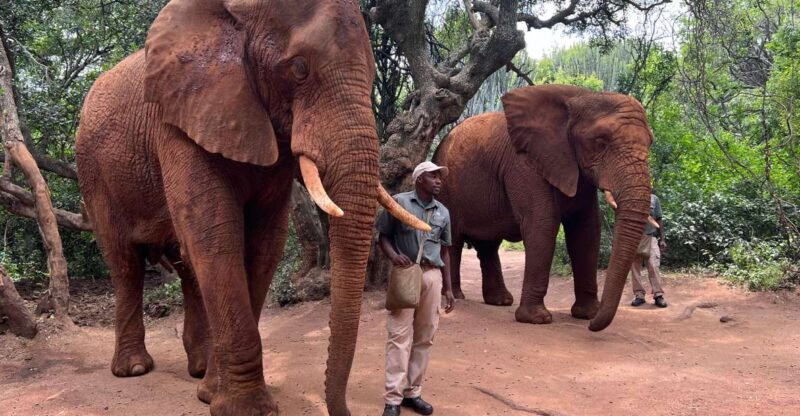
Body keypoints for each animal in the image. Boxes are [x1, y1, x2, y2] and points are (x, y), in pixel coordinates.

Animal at [75, 0, 427, 415]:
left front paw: (210, 393)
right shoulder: (178, 120)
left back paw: (198, 370)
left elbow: (264, 245)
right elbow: (215, 236)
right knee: (126, 262)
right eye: (299, 68)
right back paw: (133, 370)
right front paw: (245, 408)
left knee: (185, 266)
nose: (345, 409)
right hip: (93, 170)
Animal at [433, 84, 653, 331]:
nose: (592, 326)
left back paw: (500, 301)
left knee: (488, 245)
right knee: (454, 241)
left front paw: (587, 314)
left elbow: (586, 229)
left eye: (651, 143)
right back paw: (456, 297)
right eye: (600, 141)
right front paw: (536, 319)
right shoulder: (524, 164)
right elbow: (542, 223)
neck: (580, 96)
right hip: (445, 186)